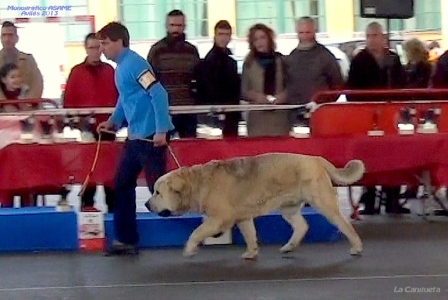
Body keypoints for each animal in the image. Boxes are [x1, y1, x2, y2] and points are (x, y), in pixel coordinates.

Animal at [147, 154, 364, 258]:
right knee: (301, 226)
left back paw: (356, 246)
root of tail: (316, 159)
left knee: (345, 225)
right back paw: (289, 246)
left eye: (158, 192)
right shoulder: (243, 217)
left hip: (324, 204)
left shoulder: (219, 219)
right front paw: (251, 252)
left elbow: (197, 232)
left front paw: (190, 248)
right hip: (288, 208)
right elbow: (250, 235)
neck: (196, 183)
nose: (147, 204)